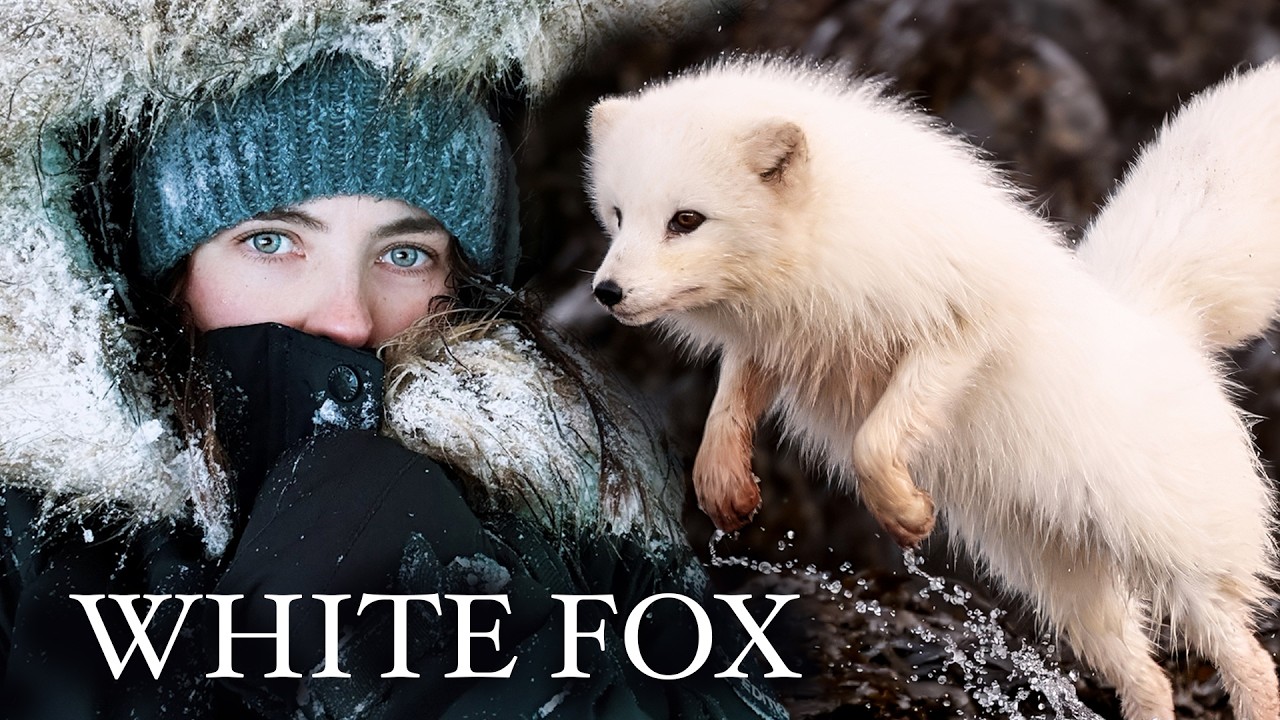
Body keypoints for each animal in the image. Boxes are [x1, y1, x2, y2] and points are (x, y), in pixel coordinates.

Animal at [585, 56, 1280, 720]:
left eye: (686, 220)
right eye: (617, 215)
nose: (606, 293)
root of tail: (1167, 324)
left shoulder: (958, 328)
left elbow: (874, 441)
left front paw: (907, 513)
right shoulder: (773, 344)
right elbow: (729, 404)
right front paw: (723, 487)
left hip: (1184, 568)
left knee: (1250, 661)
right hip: (1067, 590)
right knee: (1151, 683)